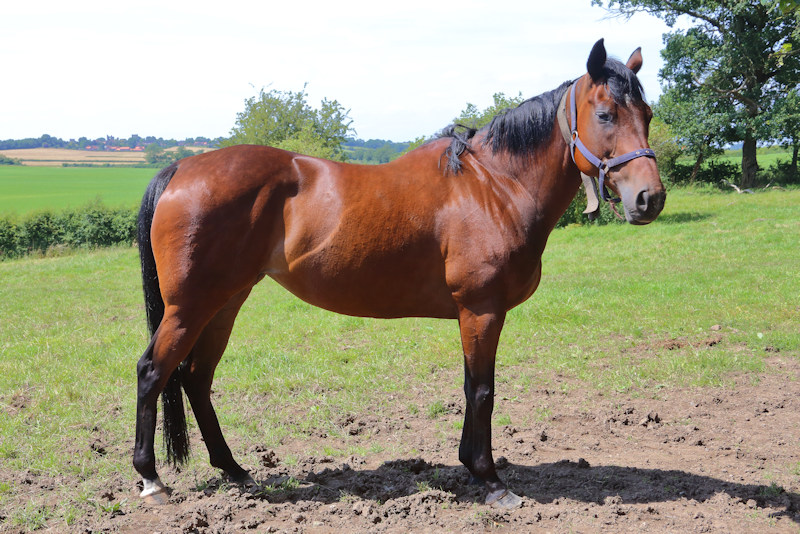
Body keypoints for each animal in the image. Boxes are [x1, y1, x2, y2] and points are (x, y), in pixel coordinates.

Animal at [134, 38, 666, 509]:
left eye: (648, 115)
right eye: (605, 114)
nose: (650, 198)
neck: (495, 186)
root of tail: (181, 169)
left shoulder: (473, 315)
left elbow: (471, 387)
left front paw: (472, 467)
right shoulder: (481, 310)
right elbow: (482, 390)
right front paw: (491, 480)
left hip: (226, 300)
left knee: (196, 378)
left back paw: (235, 470)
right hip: (190, 306)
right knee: (153, 372)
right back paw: (152, 481)